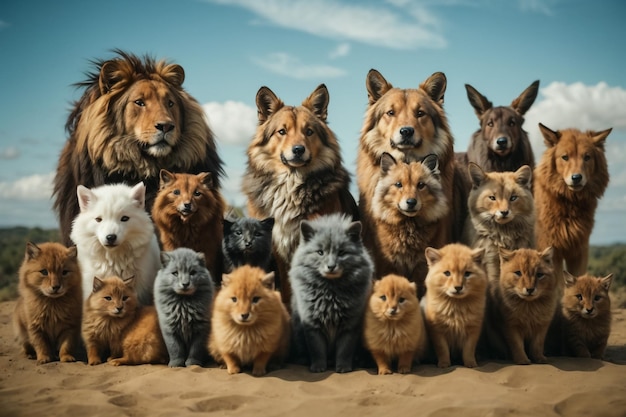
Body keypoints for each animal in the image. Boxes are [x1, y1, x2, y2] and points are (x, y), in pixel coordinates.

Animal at [290, 213, 372, 372]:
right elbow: (317, 350)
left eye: (341, 253)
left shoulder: (350, 326)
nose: (331, 266)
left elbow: (345, 350)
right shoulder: (312, 325)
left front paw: (343, 367)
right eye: (320, 252)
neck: (331, 291)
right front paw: (318, 367)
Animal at [532, 122, 608, 288]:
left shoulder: (579, 250)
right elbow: (559, 286)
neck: (570, 203)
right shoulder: (552, 251)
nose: (577, 178)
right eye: (565, 157)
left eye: (587, 157)